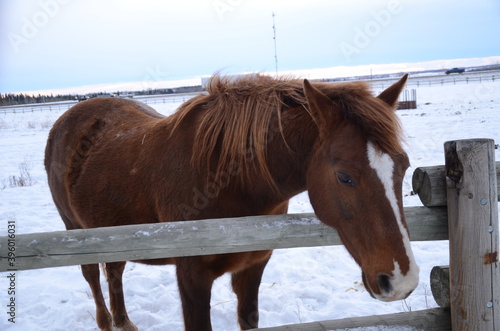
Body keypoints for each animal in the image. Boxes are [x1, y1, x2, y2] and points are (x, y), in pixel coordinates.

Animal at [45, 74, 418, 330]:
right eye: (344, 176)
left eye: (404, 166)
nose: (401, 280)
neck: (227, 179)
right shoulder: (192, 277)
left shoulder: (253, 267)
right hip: (76, 229)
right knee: (93, 276)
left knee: (115, 272)